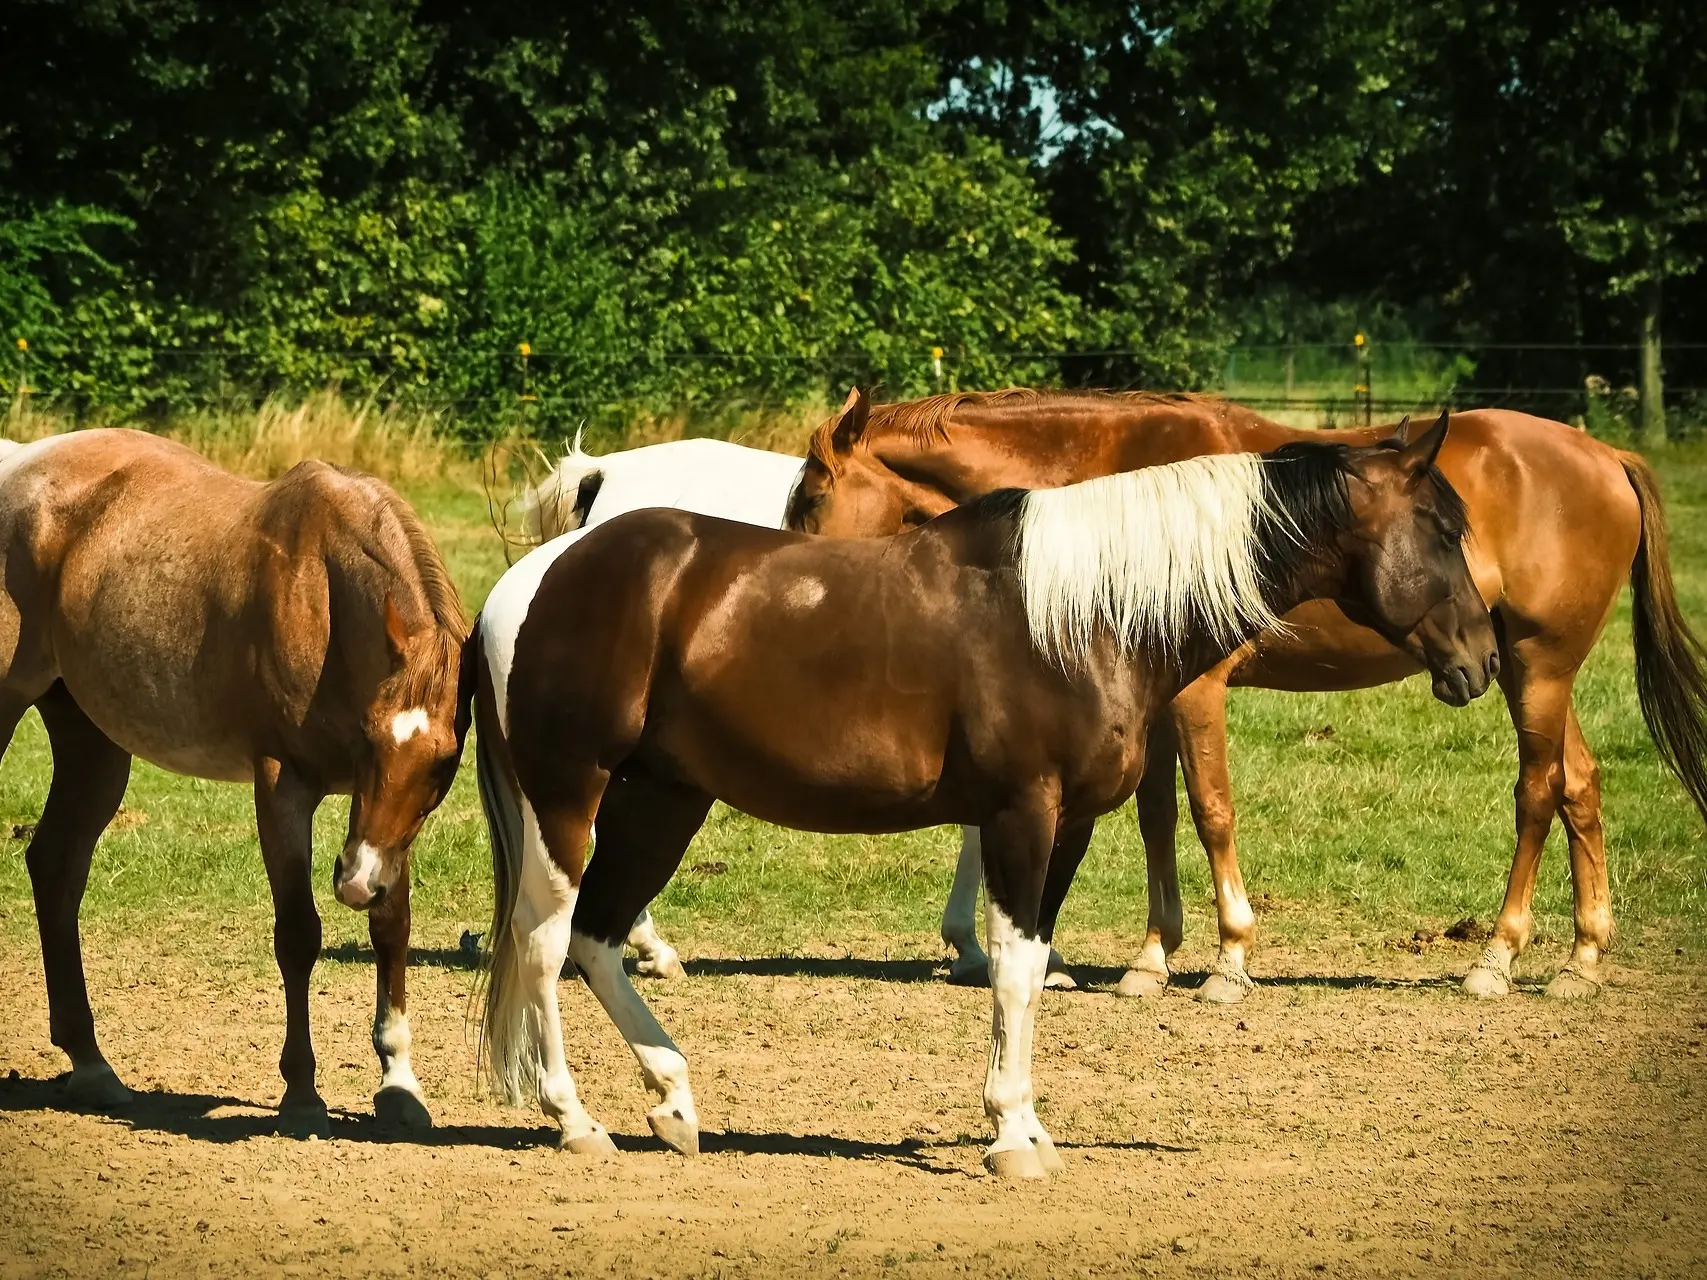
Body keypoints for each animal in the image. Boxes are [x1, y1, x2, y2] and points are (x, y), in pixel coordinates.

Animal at [0, 431, 471, 1133]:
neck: (323, 596)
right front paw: (301, 1095)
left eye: (443, 763)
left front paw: (399, 1084)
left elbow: (393, 925)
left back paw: (92, 1065)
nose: (356, 884)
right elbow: (298, 934)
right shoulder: (282, 786)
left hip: (92, 743)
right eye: (371, 740)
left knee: (56, 866)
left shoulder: (382, 829)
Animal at [467, 423, 1495, 1181]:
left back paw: (674, 1100)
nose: (1481, 661)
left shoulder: (1069, 826)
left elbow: (1034, 969)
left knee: (600, 936)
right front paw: (1009, 1138)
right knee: (546, 940)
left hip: (663, 801)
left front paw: (1029, 1126)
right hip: (570, 798)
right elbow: (1007, 967)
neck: (1085, 615)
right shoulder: (1020, 817)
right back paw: (575, 1119)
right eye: (1443, 530)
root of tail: (532, 578)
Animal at [788, 385, 1707, 1010]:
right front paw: (1150, 958)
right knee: (1579, 786)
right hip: (1522, 668)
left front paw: (1229, 957)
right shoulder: (1151, 696)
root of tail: (1602, 456)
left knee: (1536, 792)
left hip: (1533, 668)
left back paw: (1496, 958)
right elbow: (1156, 814)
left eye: (811, 498)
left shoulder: (1196, 692)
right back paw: (1581, 958)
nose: (794, 583)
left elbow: (1209, 811)